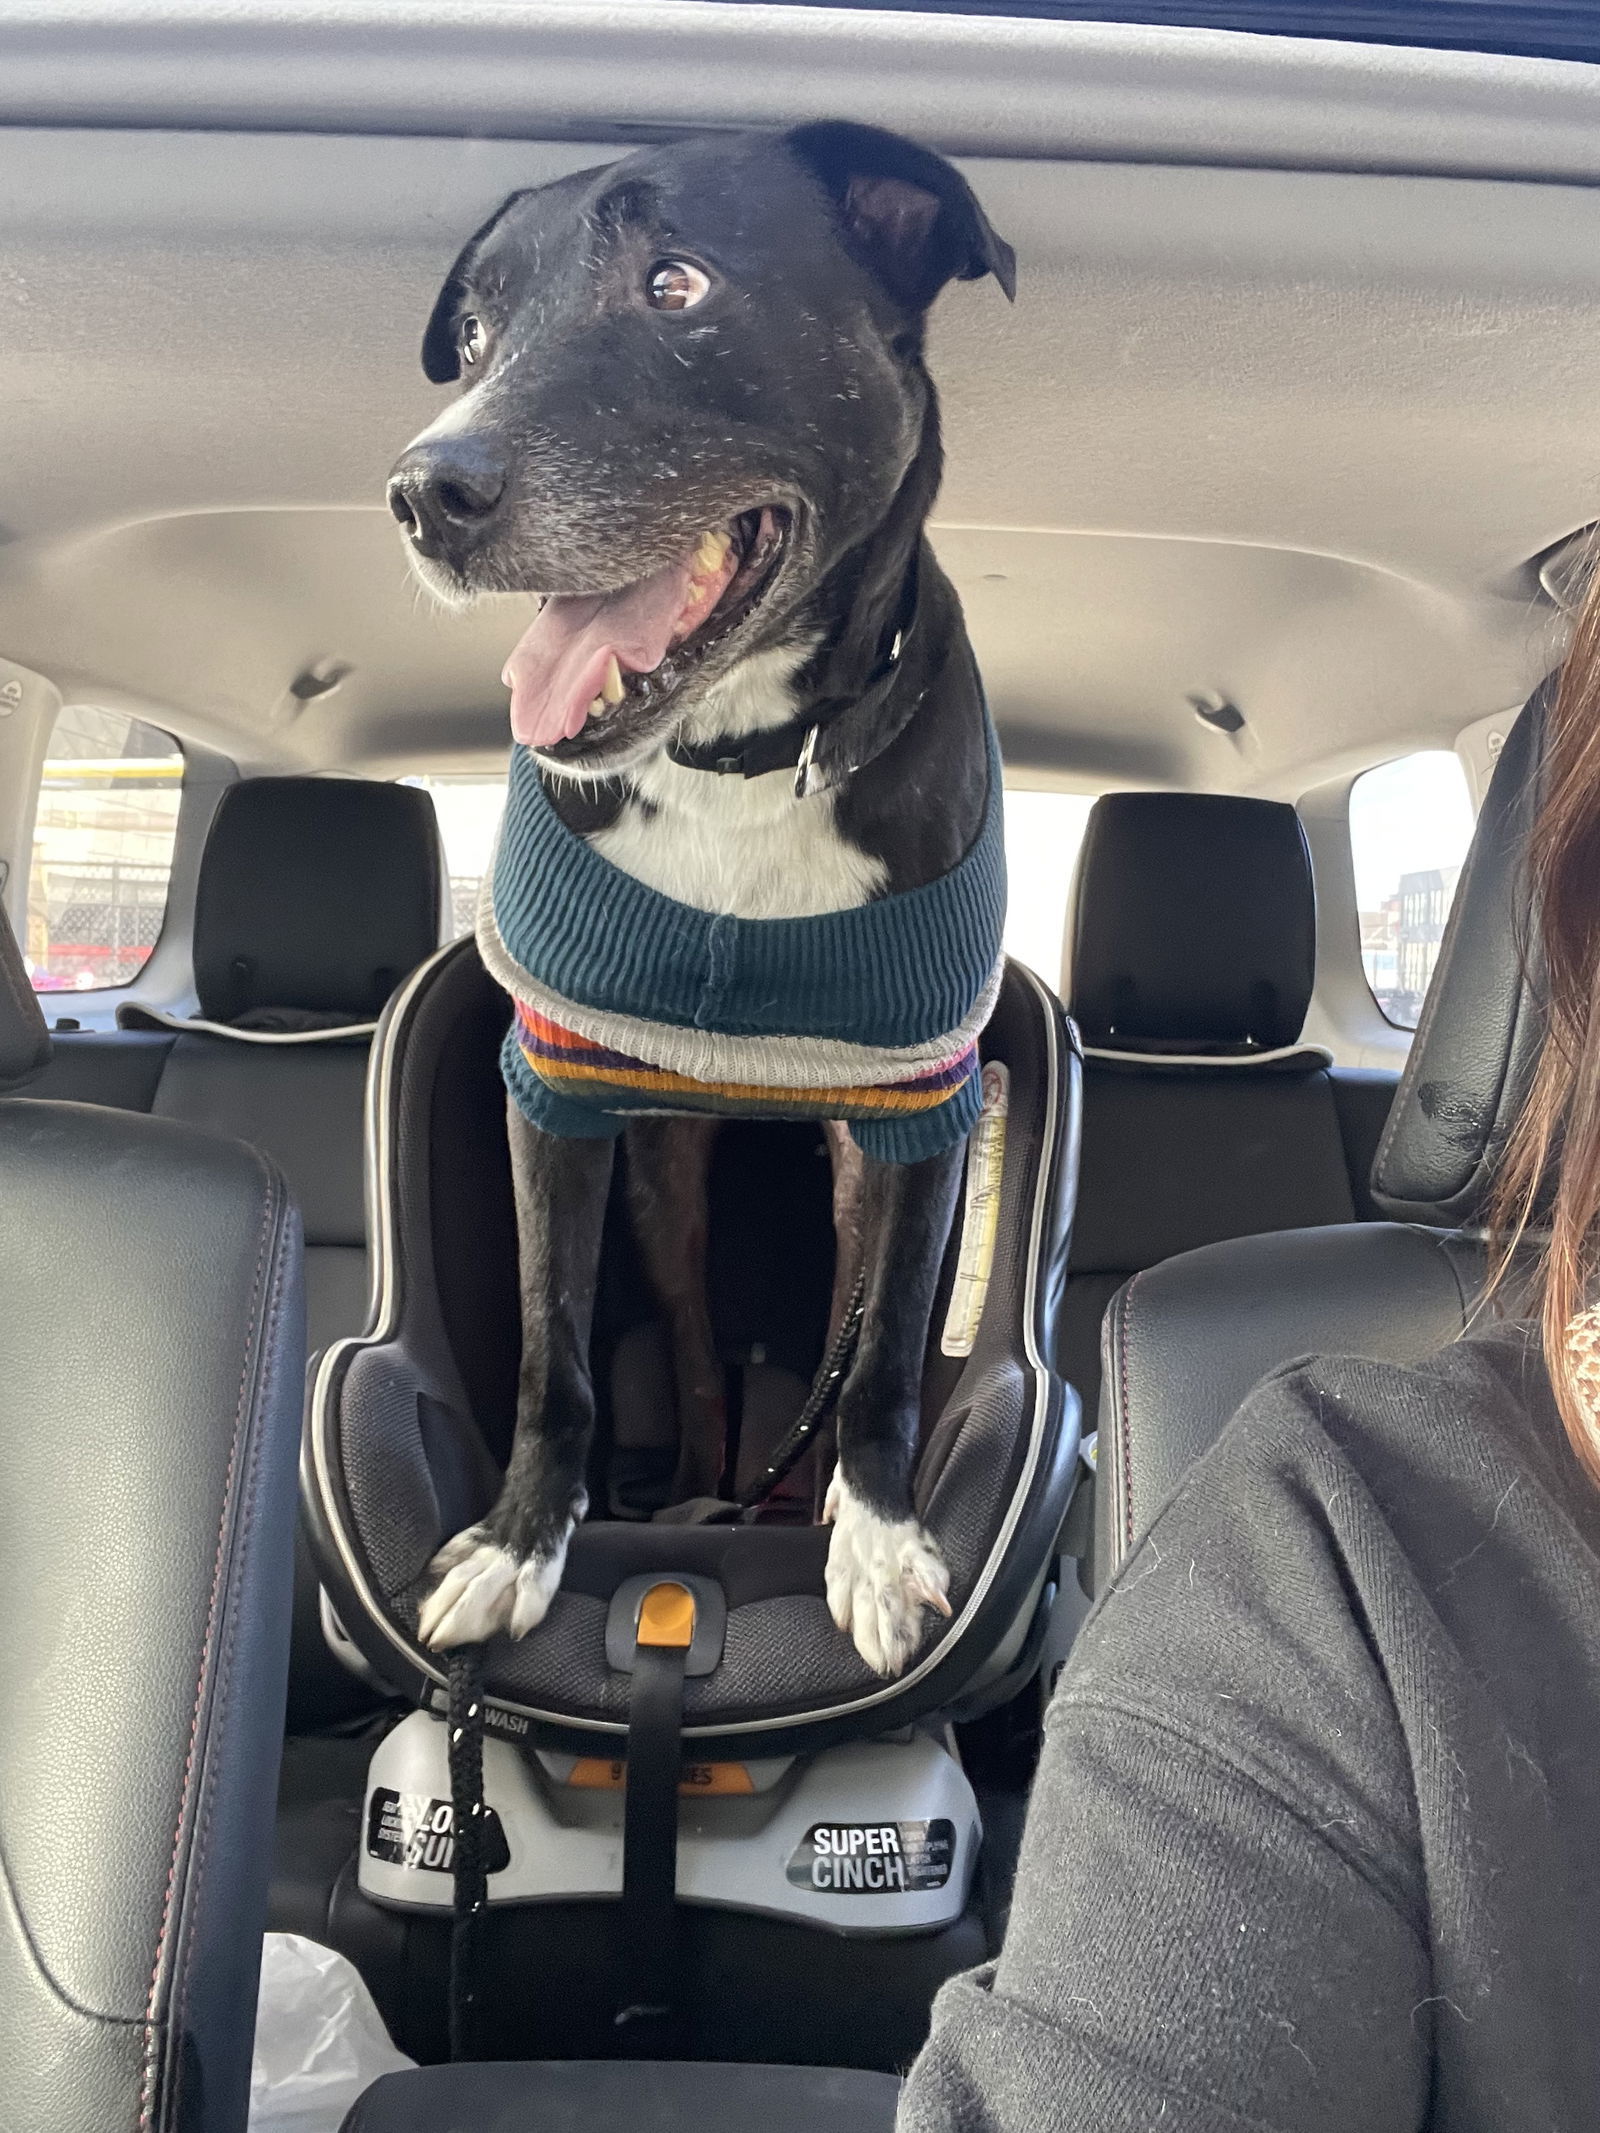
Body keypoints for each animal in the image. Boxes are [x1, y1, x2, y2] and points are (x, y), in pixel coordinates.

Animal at [388, 124, 1015, 1672]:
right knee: (687, 1348)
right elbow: (554, 1349)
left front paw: (880, 1536)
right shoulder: (555, 1092)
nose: (424, 494)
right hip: (665, 1179)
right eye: (474, 334)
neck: (742, 755)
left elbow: (886, 1354)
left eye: (675, 283)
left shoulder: (922, 1114)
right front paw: (518, 1543)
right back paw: (694, 1488)